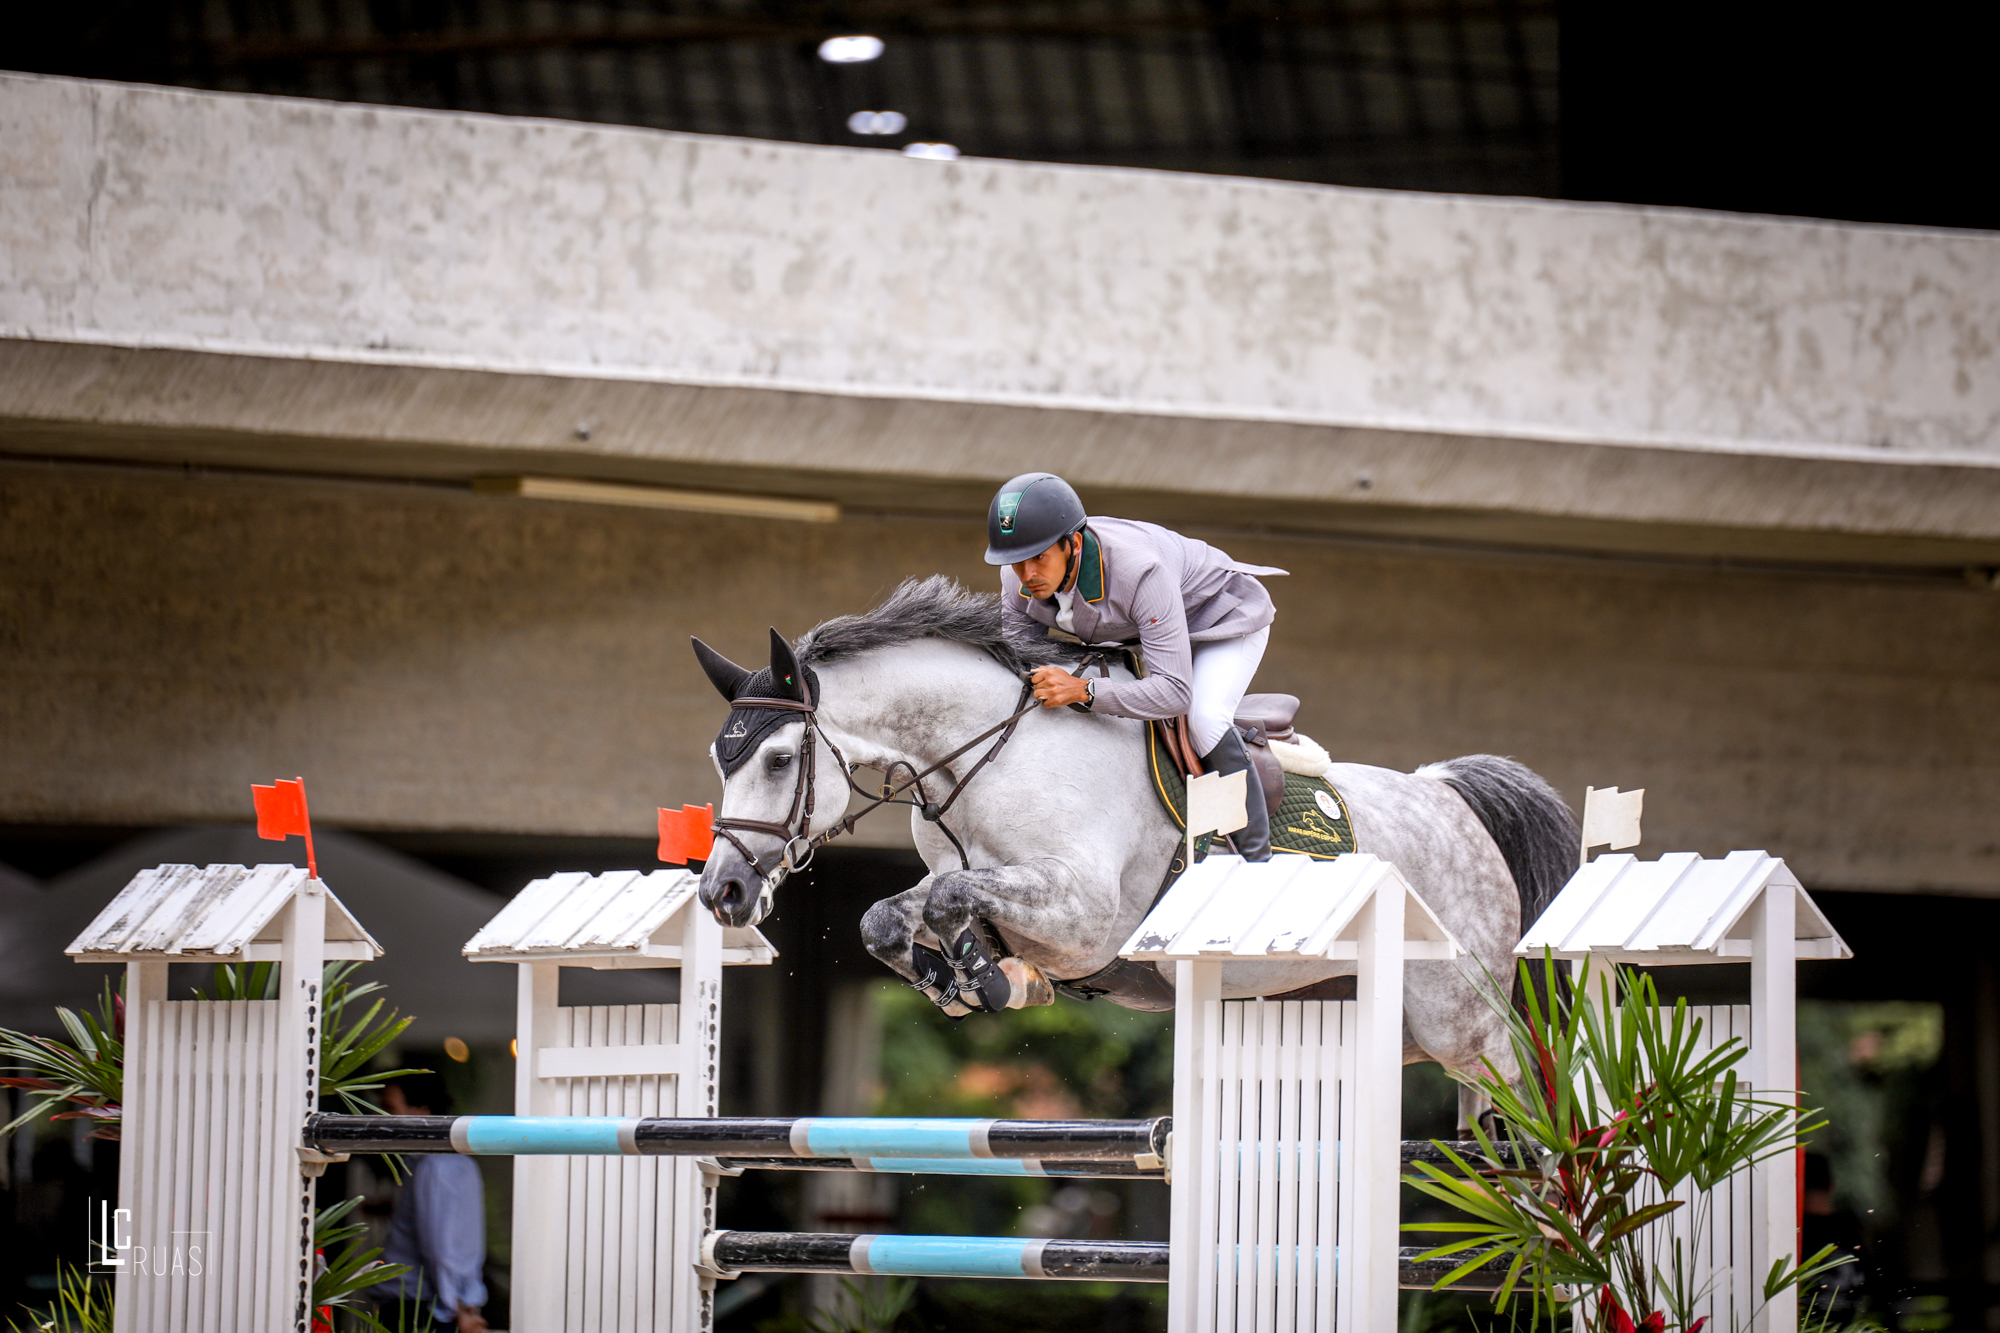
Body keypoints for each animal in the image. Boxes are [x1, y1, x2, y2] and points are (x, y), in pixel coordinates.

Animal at [696, 576, 1568, 1112]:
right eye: (720, 757)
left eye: (779, 760)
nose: (721, 892)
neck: (991, 754)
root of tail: (1448, 794)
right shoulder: (968, 878)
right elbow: (890, 915)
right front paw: (962, 979)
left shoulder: (1083, 920)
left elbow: (952, 899)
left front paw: (991, 979)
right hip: (1378, 1021)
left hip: (1461, 1022)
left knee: (1529, 1102)